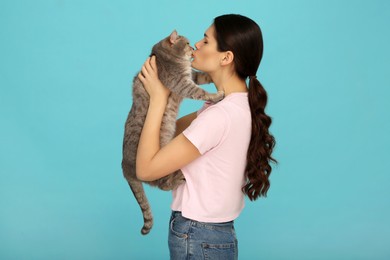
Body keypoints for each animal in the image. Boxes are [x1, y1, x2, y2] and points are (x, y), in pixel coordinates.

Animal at [122, 30, 225, 236]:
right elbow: (200, 91)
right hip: (159, 165)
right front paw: (215, 95)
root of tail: (124, 167)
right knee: (163, 184)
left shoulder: (190, 75)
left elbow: (201, 76)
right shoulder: (181, 83)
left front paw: (212, 76)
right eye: (187, 43)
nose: (193, 48)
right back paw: (178, 179)